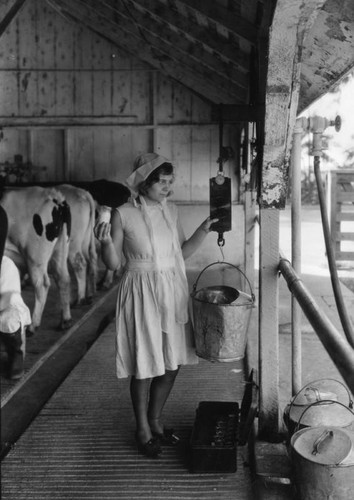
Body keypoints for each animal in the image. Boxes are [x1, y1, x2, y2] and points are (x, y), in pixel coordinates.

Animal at [0, 185, 72, 336]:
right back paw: (65, 321)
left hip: (35, 257)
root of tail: (54, 195)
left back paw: (33, 326)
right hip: (61, 249)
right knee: (63, 279)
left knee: (42, 284)